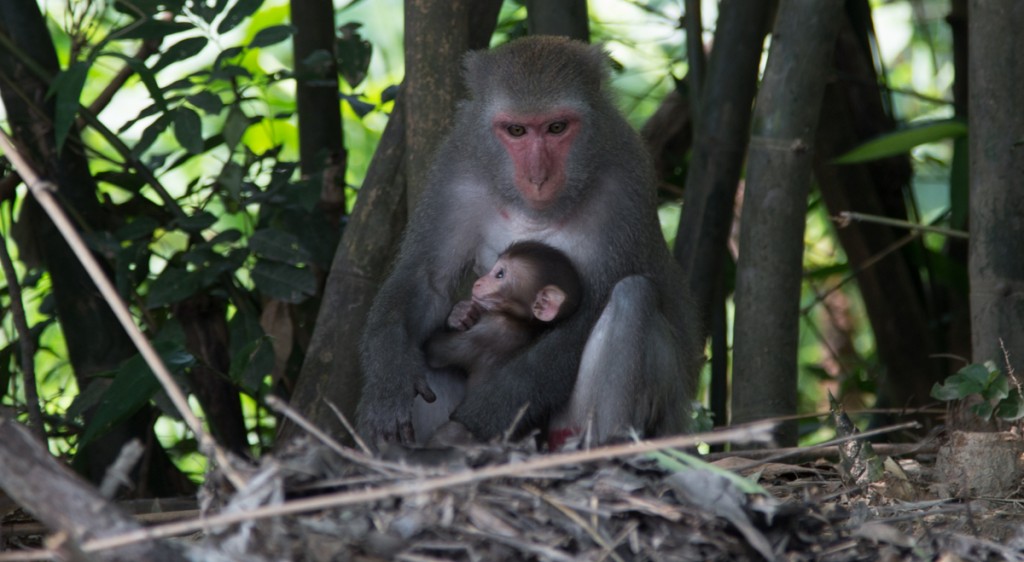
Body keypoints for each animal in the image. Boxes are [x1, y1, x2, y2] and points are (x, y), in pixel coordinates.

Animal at [358, 35, 702, 449]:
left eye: (556, 127)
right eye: (516, 130)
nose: (538, 177)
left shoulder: (625, 183)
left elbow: (586, 313)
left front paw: (467, 428)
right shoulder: (458, 169)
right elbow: (427, 279)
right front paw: (387, 382)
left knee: (632, 297)